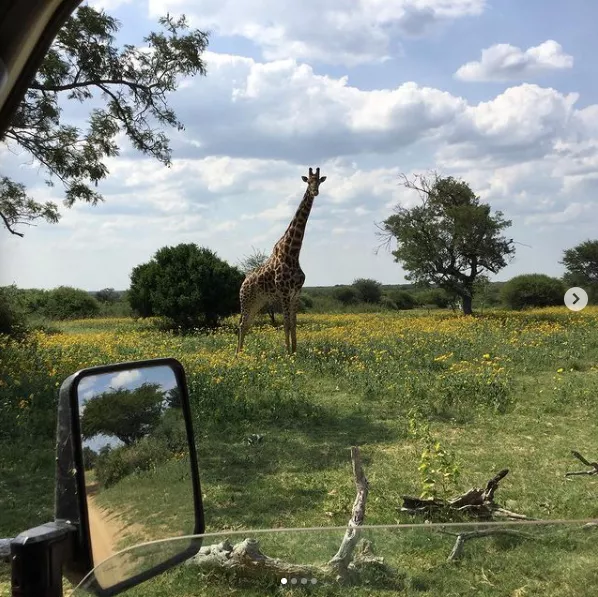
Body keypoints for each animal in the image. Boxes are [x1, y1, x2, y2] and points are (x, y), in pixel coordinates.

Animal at [238, 165, 328, 354]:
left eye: (319, 182)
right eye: (308, 181)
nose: (315, 192)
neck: (293, 253)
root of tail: (243, 283)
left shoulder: (296, 293)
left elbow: (293, 325)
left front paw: (295, 351)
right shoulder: (284, 293)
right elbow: (286, 324)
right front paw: (287, 353)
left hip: (258, 301)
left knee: (247, 324)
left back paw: (242, 353)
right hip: (247, 300)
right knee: (242, 324)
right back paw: (238, 355)